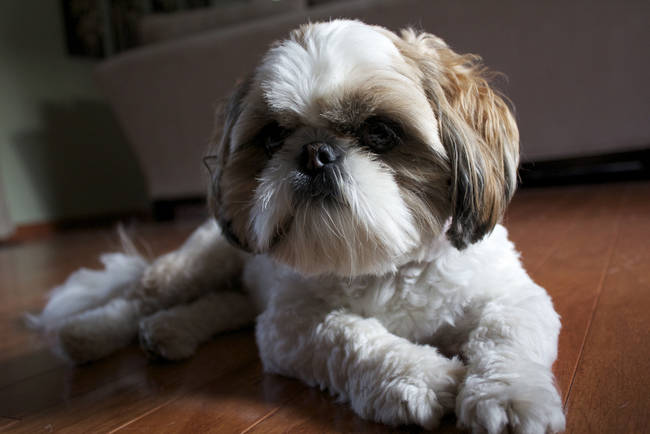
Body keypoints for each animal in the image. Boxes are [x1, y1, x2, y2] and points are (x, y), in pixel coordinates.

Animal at [30, 20, 564, 434]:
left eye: (380, 132)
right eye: (272, 138)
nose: (314, 153)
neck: (383, 264)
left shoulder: (513, 296)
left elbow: (506, 335)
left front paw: (509, 398)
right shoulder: (290, 325)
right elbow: (350, 334)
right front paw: (420, 376)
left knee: (224, 305)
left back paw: (169, 331)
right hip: (198, 264)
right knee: (139, 297)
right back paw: (88, 334)